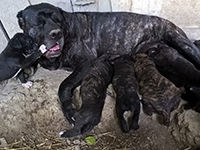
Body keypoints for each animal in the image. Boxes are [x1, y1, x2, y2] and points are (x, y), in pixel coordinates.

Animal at [16, 2, 200, 125]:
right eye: (39, 23)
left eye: (58, 20)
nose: (56, 33)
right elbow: (28, 62)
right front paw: (24, 74)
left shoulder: (86, 62)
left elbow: (64, 85)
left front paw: (69, 110)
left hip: (180, 41)